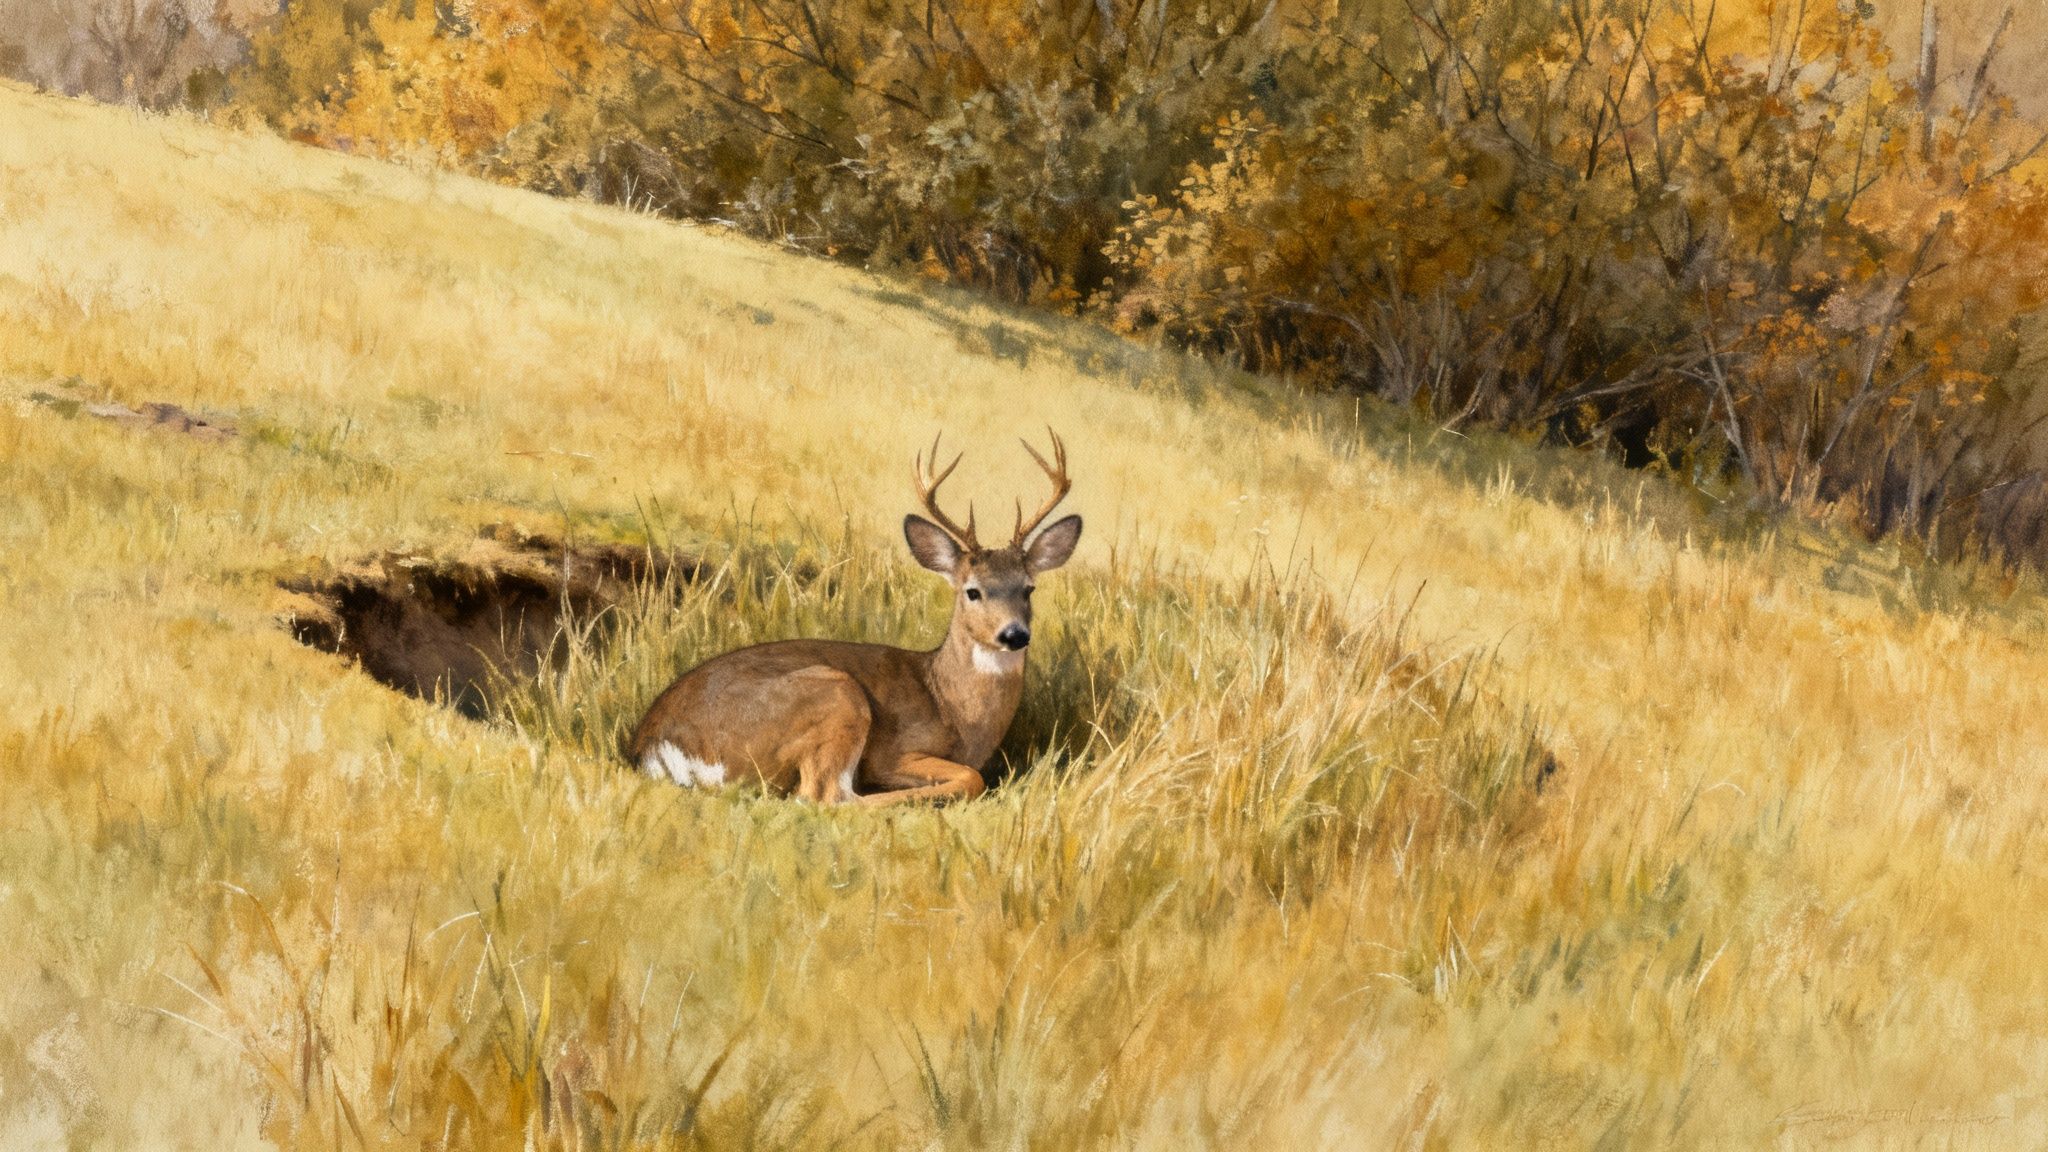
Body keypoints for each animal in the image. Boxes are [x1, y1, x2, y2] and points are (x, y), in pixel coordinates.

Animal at [627, 431, 1082, 805]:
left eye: (1028, 589)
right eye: (973, 591)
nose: (1014, 634)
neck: (951, 703)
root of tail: (653, 744)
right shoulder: (895, 750)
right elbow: (971, 776)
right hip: (836, 694)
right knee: (823, 797)